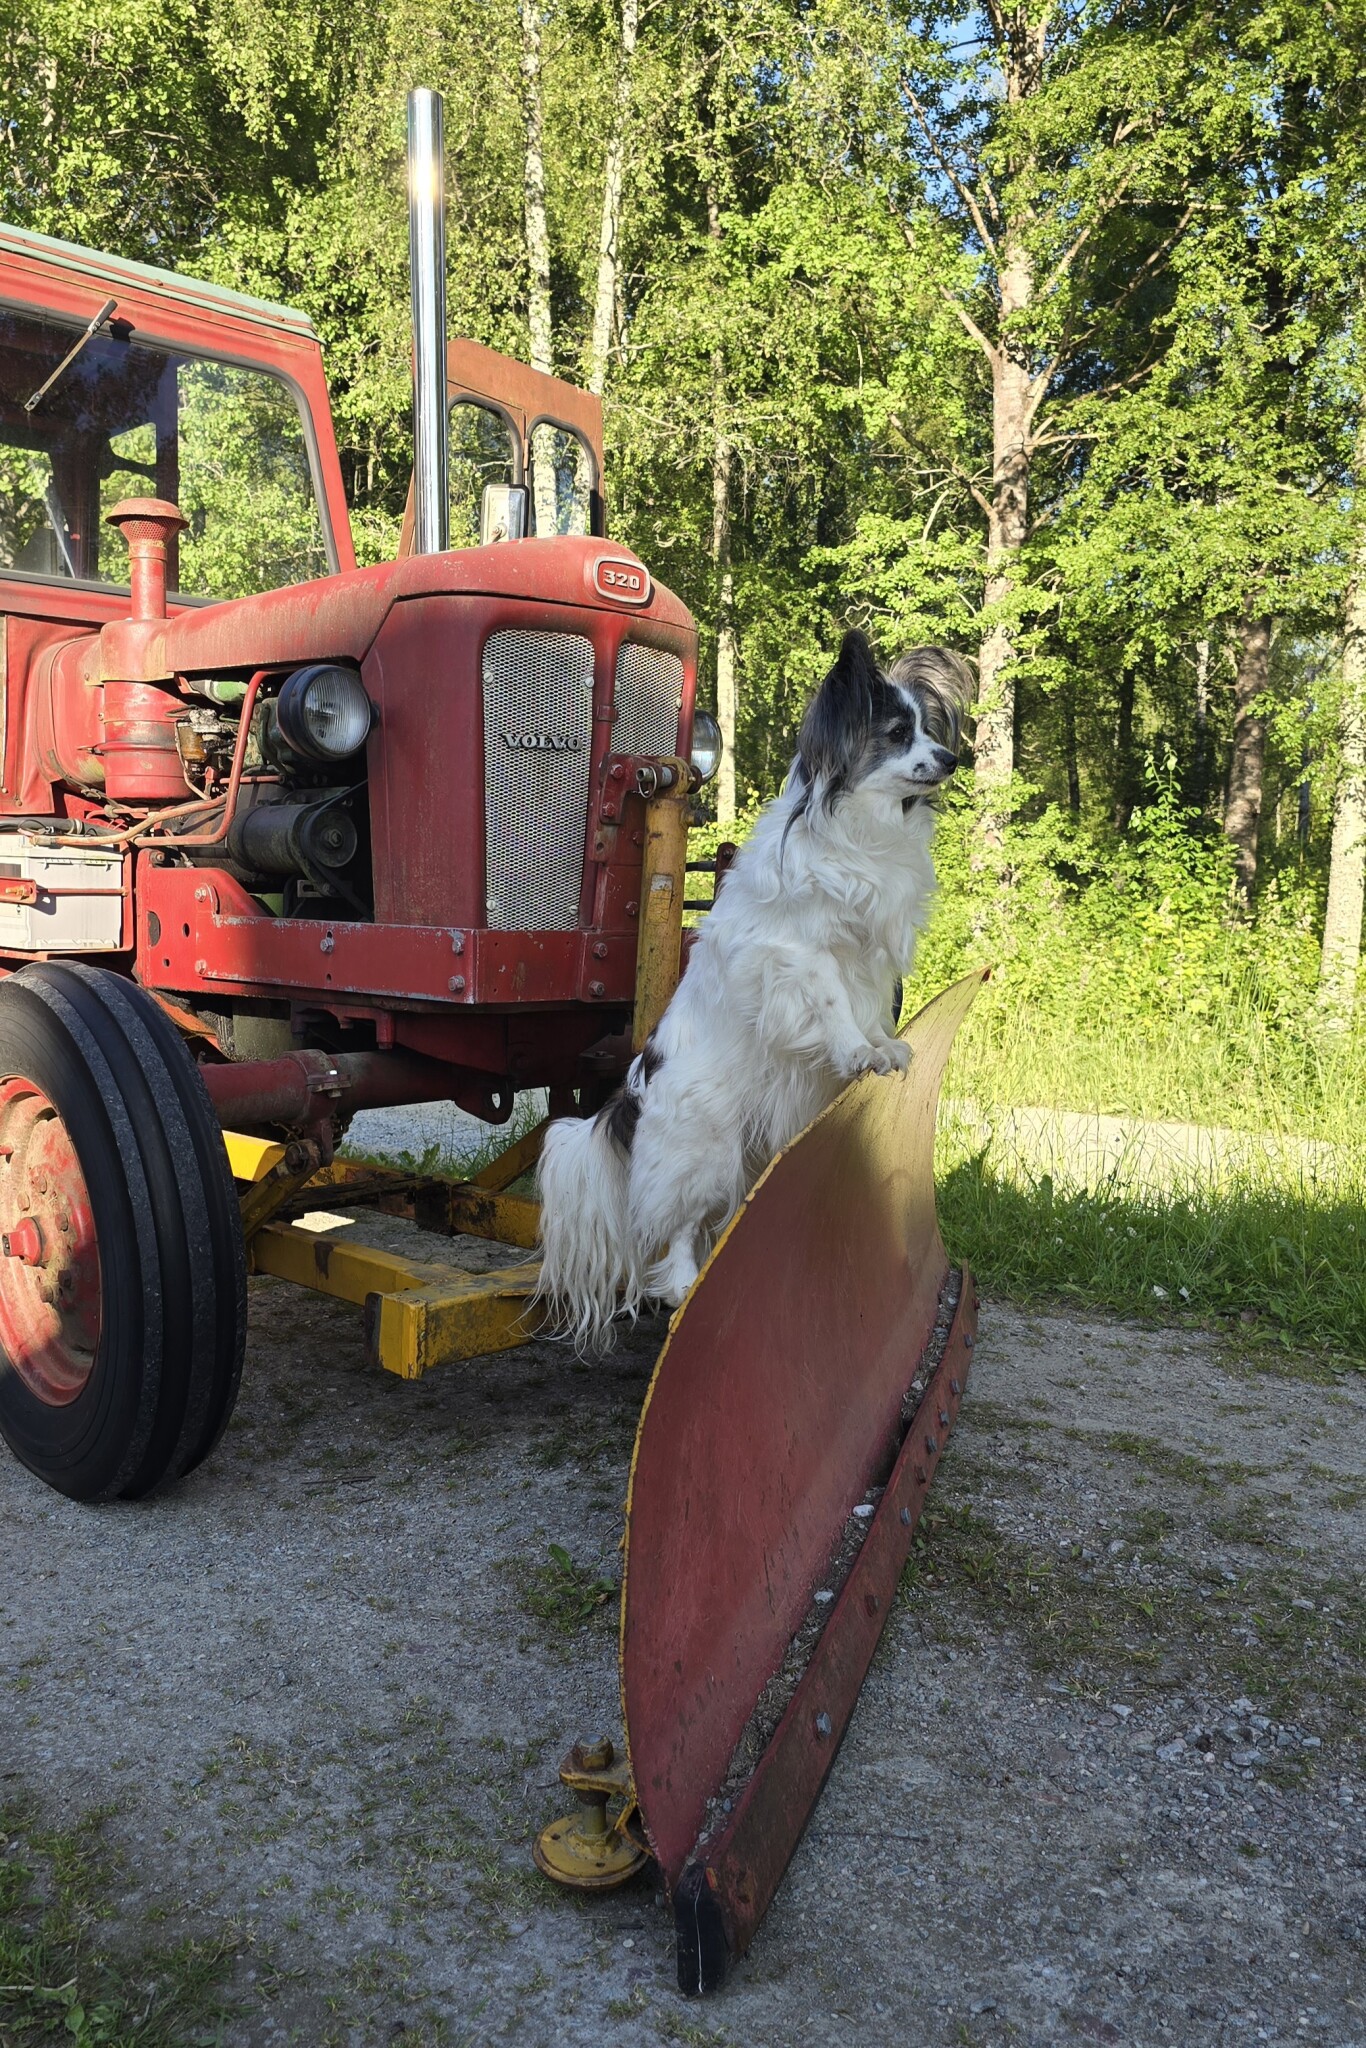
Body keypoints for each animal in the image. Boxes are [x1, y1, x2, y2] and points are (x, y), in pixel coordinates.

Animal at [535, 628, 968, 1351]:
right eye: (896, 734)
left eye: (930, 730)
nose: (952, 758)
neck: (860, 827)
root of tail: (632, 1089)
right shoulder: (795, 956)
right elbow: (833, 1004)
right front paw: (856, 1052)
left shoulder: (869, 962)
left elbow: (868, 1011)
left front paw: (881, 1048)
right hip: (706, 1143)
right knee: (680, 1226)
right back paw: (684, 1285)